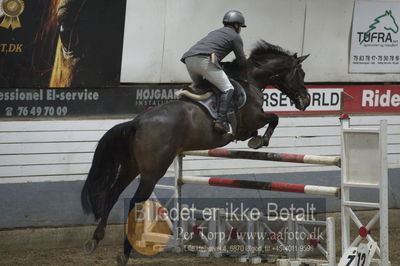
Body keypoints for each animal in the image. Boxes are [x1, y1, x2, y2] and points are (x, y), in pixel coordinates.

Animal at [81, 40, 310, 264]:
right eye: (301, 74)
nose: (306, 100)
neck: (250, 80)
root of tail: (137, 122)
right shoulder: (253, 119)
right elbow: (273, 118)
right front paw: (260, 140)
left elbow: (267, 122)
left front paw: (257, 139)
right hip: (153, 172)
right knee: (134, 201)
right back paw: (125, 252)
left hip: (132, 166)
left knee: (113, 193)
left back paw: (95, 240)